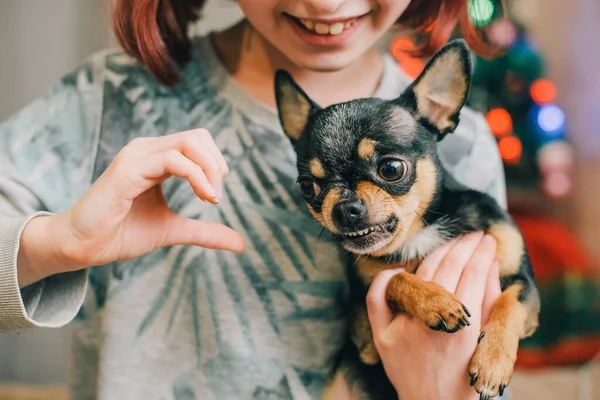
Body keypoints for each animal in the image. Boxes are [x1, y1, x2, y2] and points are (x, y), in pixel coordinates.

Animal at [274, 41, 540, 400]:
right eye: (307, 186)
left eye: (391, 169)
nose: (344, 208)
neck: (420, 232)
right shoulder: (364, 318)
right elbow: (393, 279)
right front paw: (435, 301)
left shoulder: (523, 281)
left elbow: (511, 302)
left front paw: (493, 360)